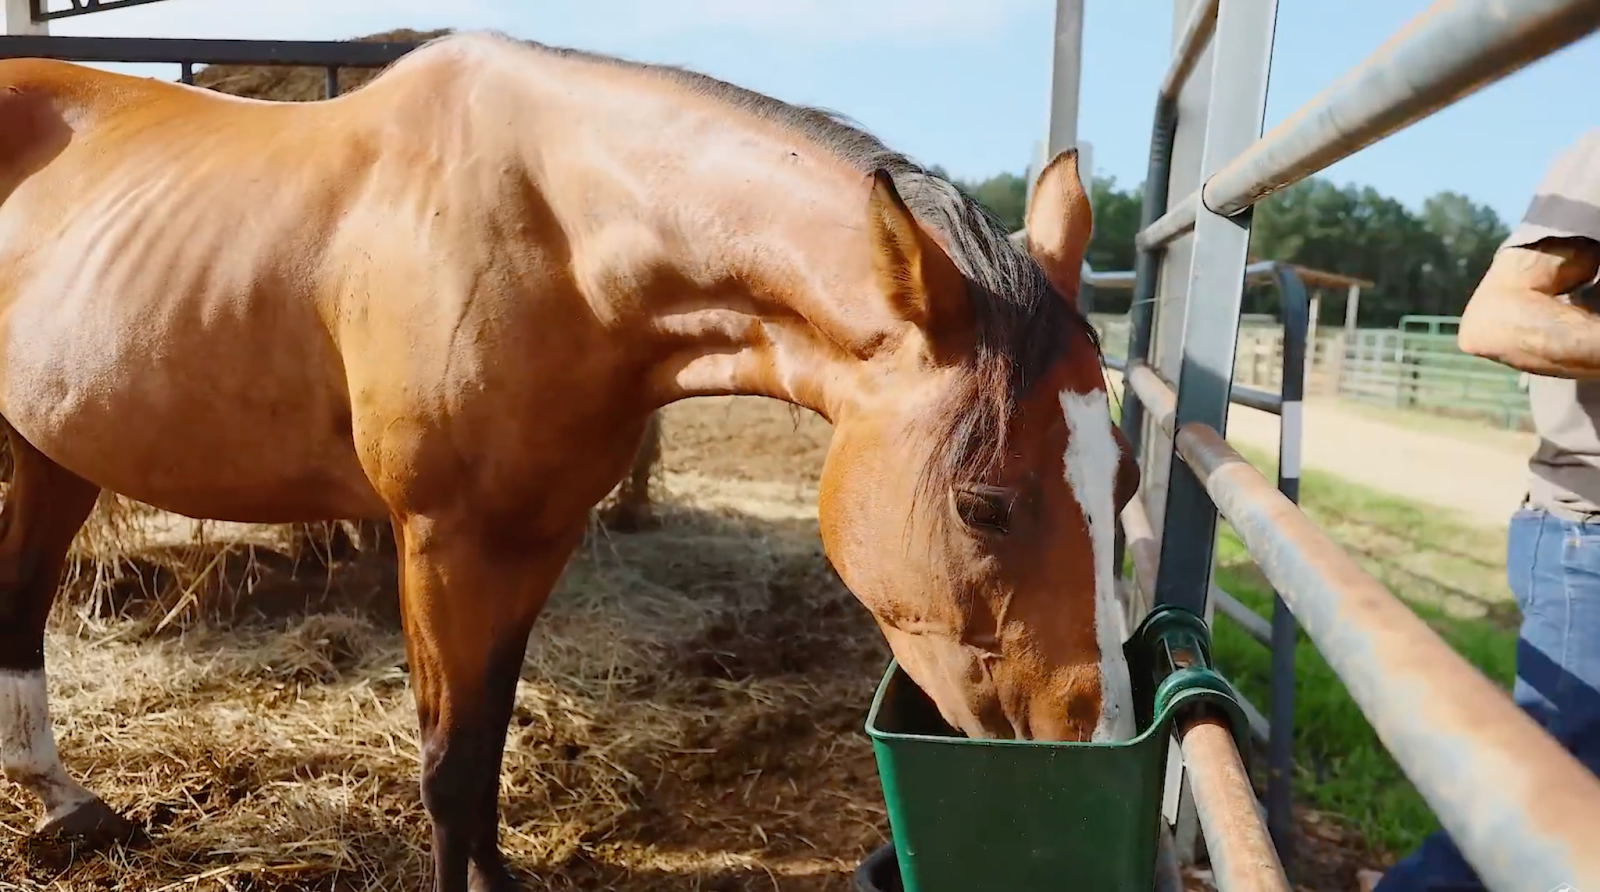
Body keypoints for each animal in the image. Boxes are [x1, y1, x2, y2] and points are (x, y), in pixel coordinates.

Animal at [0, 31, 1139, 892]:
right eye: (984, 504)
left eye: (1123, 480)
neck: (548, 238)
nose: (1095, 746)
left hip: (49, 448)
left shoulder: (534, 534)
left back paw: (62, 799)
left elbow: (487, 744)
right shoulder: (439, 541)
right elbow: (447, 765)